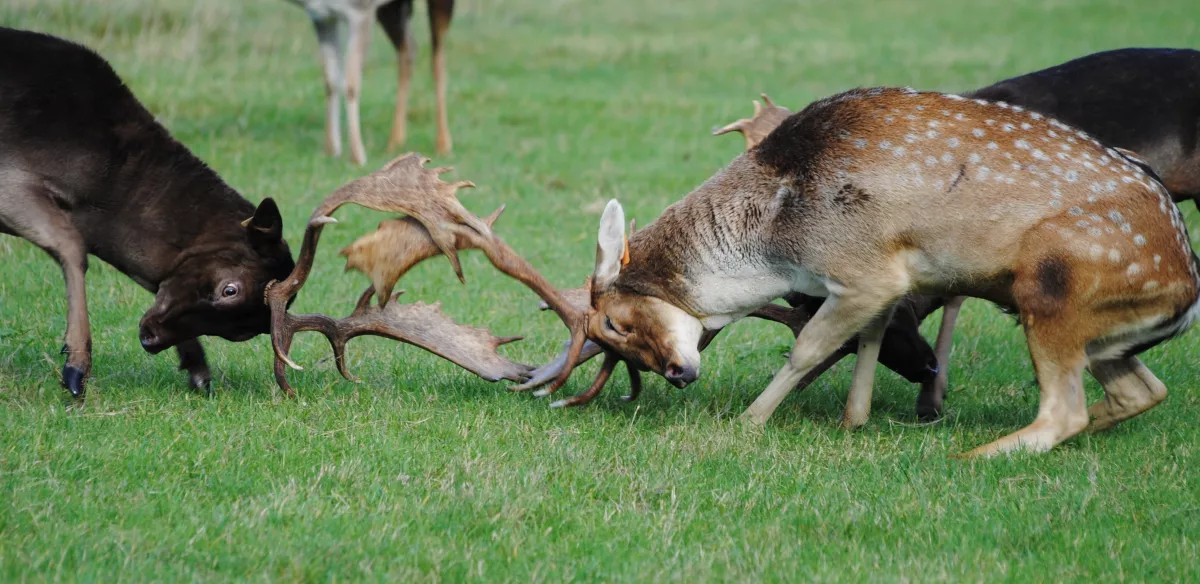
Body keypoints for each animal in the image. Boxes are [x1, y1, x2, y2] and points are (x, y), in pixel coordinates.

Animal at [1, 27, 296, 398]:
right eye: (230, 289)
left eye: (241, 332)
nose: (150, 338)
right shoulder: (9, 180)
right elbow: (71, 244)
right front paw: (76, 367)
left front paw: (198, 369)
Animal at [284, 0, 453, 165]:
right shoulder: (321, 16)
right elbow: (330, 81)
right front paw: (331, 151)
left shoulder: (361, 12)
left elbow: (351, 83)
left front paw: (357, 157)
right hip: (392, 9)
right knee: (409, 49)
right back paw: (395, 143)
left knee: (438, 57)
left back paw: (443, 145)